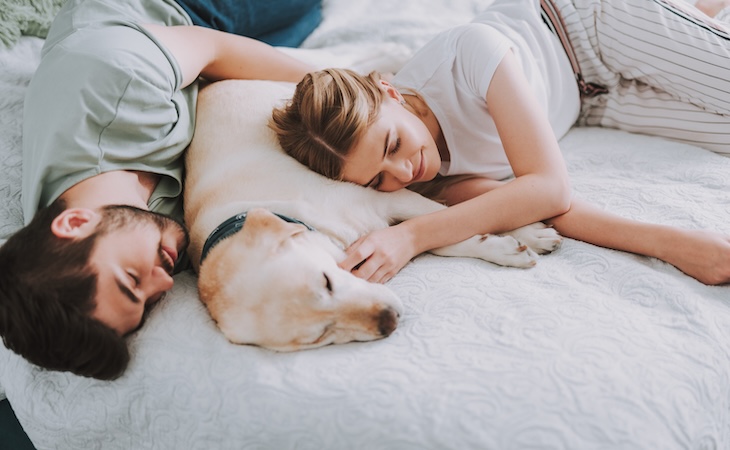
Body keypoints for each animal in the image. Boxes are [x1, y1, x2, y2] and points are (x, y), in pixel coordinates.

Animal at [182, 79, 556, 352]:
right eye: (319, 336)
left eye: (327, 282)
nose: (388, 321)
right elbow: (442, 236)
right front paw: (506, 245)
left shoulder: (386, 199)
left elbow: (450, 221)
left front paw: (525, 235)